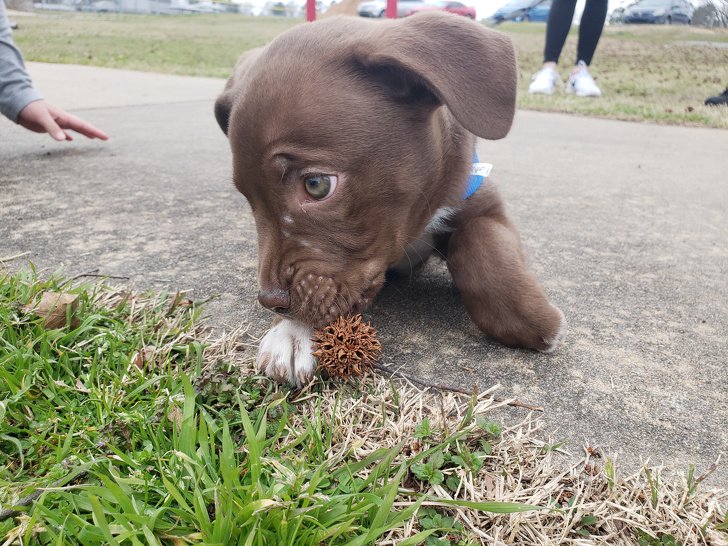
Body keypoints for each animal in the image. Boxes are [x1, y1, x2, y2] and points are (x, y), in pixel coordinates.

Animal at [213, 13, 564, 386]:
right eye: (250, 200)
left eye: (317, 185)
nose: (271, 302)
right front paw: (292, 333)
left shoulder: (483, 203)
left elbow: (481, 247)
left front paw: (530, 320)